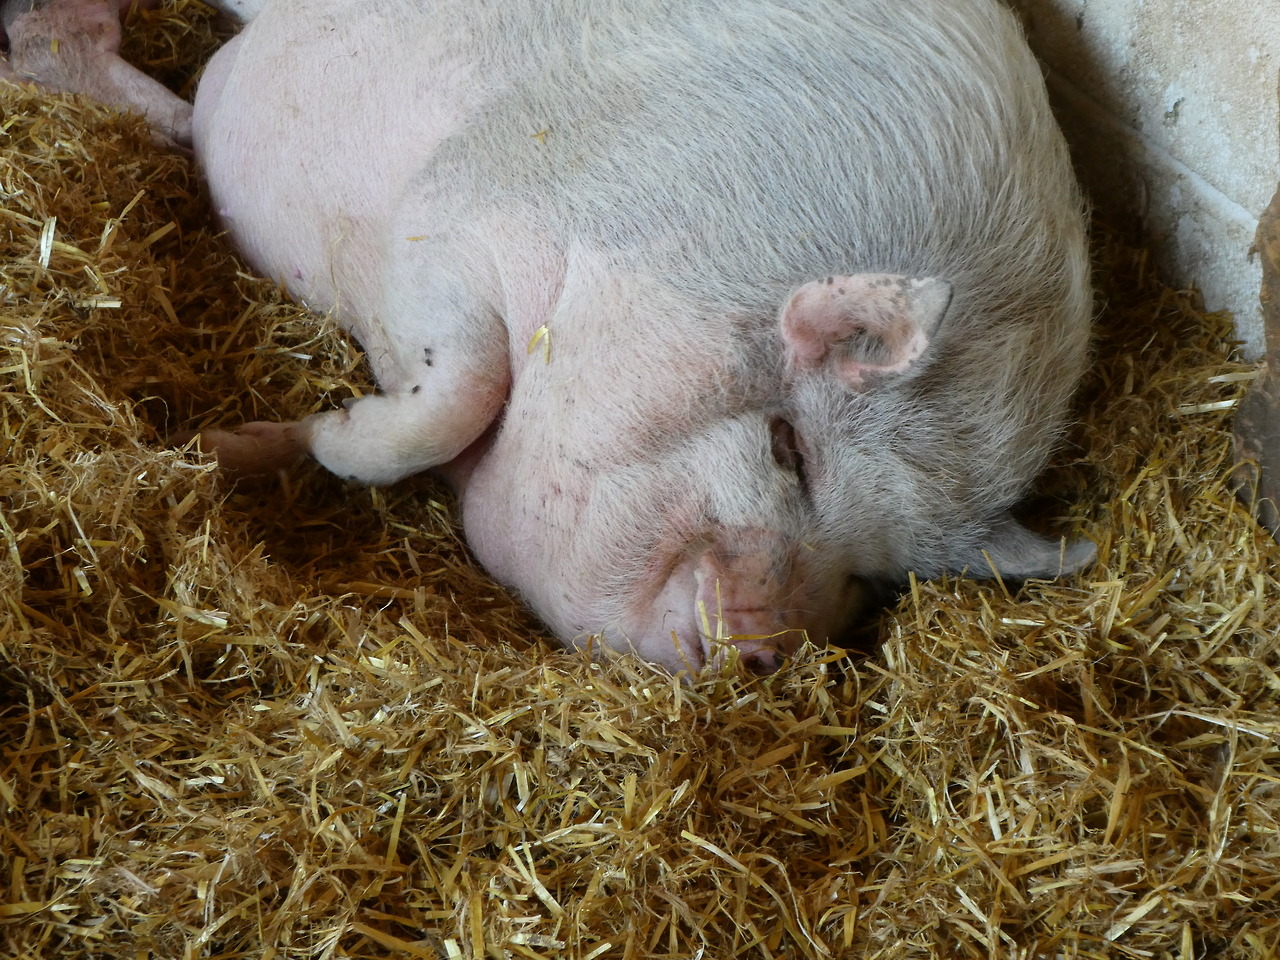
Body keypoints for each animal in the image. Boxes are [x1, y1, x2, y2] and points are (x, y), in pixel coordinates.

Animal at [2, 0, 1096, 673]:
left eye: (873, 575)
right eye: (788, 449)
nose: (764, 650)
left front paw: (237, 448)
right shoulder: (455, 214)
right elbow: (449, 400)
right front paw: (293, 438)